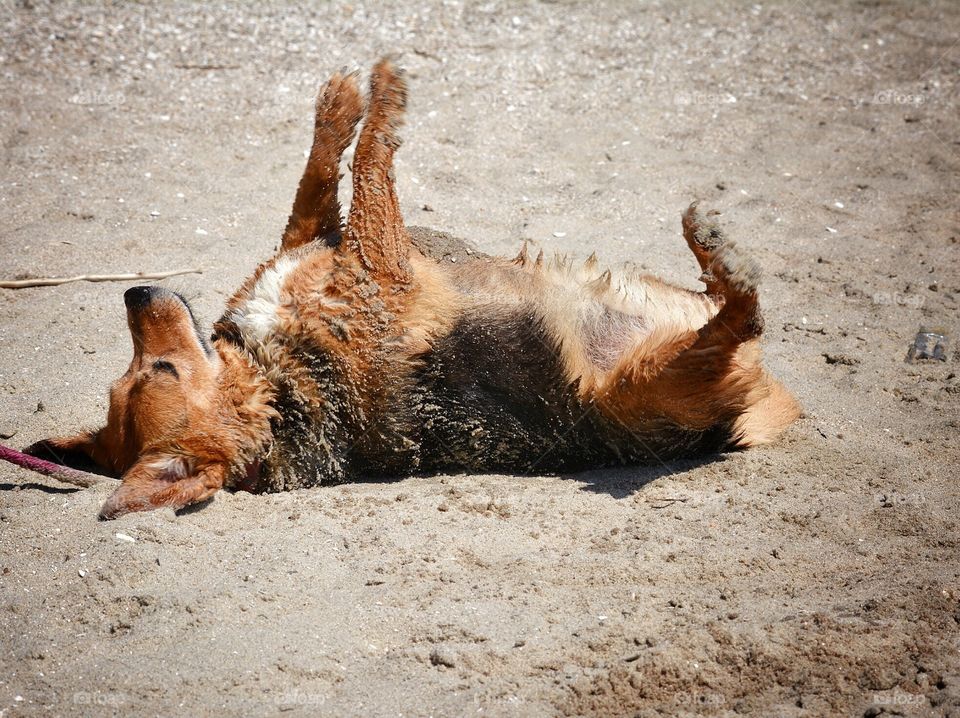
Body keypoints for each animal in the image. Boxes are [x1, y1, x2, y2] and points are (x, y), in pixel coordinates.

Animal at [24, 57, 804, 516]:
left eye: (141, 370)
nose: (132, 295)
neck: (278, 384)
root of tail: (759, 408)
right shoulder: (381, 263)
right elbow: (373, 160)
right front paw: (385, 90)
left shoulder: (320, 244)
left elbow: (317, 180)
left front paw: (341, 101)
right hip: (647, 382)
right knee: (740, 317)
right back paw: (720, 255)